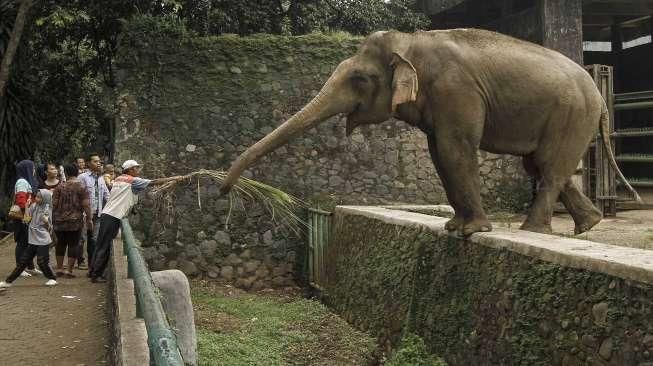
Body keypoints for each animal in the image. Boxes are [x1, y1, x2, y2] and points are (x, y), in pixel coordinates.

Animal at [220, 30, 640, 237]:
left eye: (359, 79)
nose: (223, 191)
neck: (412, 41)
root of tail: (599, 94)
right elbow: (438, 153)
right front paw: (453, 228)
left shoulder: (456, 90)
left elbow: (456, 149)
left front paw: (472, 231)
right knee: (539, 165)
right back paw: (589, 225)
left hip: (571, 113)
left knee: (549, 167)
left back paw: (533, 230)